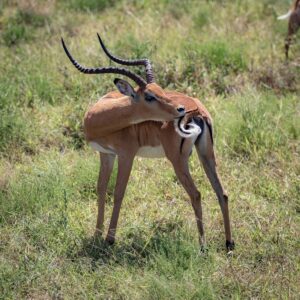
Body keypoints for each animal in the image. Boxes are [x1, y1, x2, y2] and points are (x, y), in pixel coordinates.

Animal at [61, 34, 234, 251]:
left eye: (160, 90)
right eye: (150, 95)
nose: (180, 109)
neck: (98, 116)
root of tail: (198, 112)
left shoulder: (126, 155)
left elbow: (118, 192)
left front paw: (109, 239)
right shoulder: (106, 154)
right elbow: (101, 190)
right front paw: (96, 235)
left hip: (178, 160)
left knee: (196, 194)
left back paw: (202, 247)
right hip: (206, 155)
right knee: (222, 192)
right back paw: (229, 243)